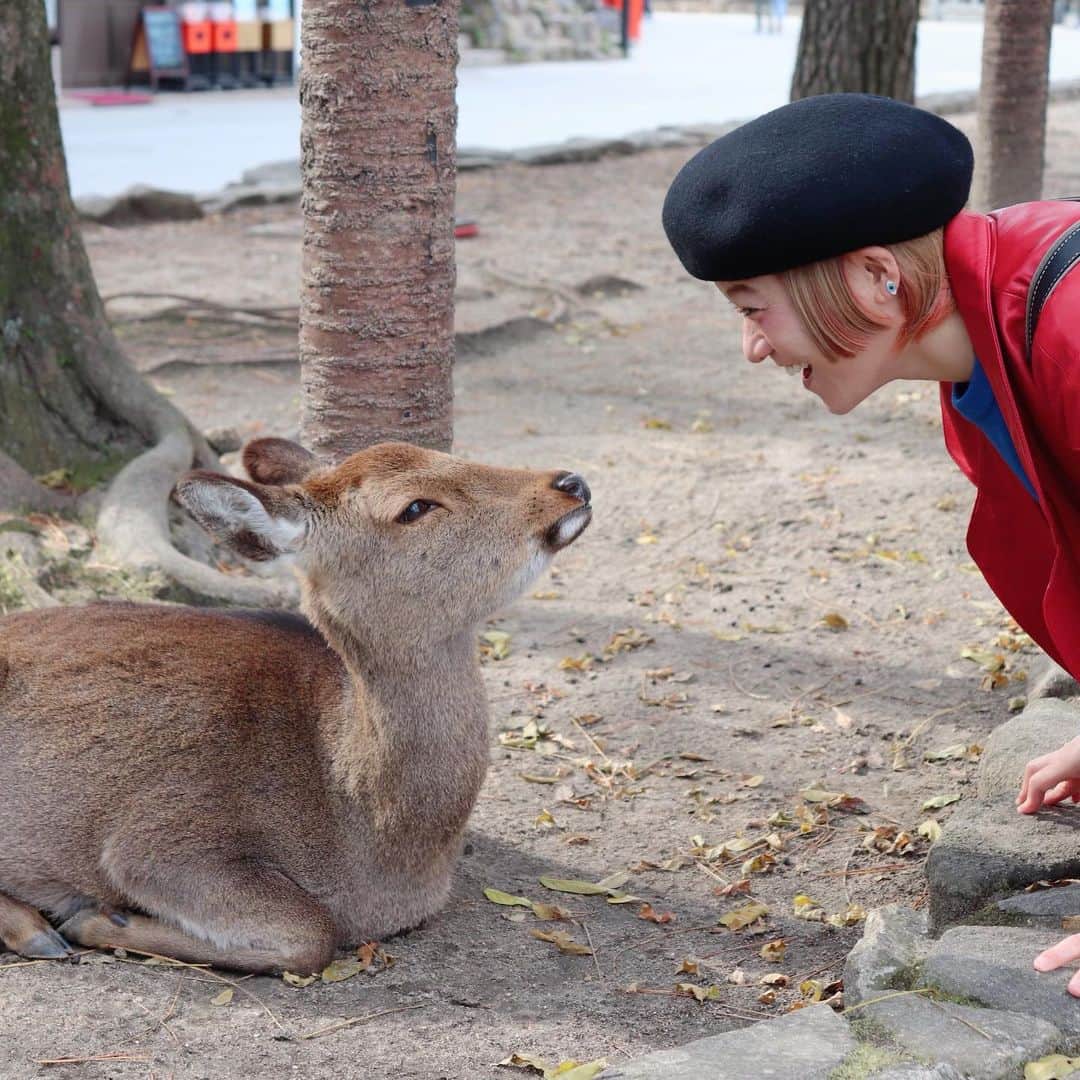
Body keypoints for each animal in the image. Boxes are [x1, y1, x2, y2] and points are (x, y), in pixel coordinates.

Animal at [0, 437, 591, 974]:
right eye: (415, 507)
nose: (570, 483)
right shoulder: (157, 841)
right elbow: (311, 934)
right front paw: (94, 915)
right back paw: (39, 930)